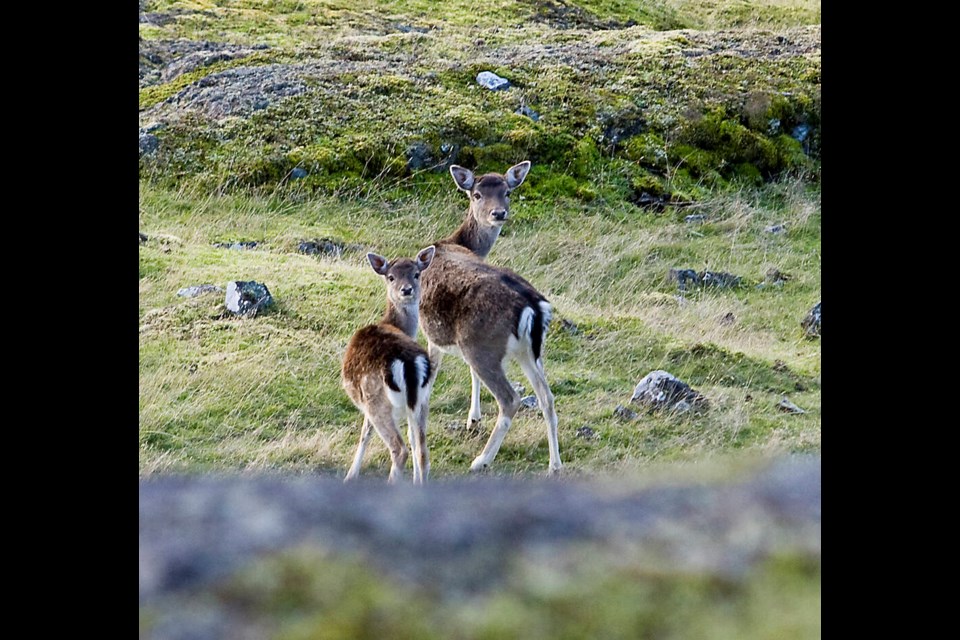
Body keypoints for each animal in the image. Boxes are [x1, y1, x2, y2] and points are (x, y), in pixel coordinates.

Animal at [344, 246, 436, 484]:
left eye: (416, 274)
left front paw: (350, 475)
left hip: (377, 401)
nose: (406, 290)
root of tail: (410, 364)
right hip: (423, 400)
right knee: (422, 451)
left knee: (400, 449)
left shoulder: (364, 401)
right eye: (391, 276)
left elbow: (364, 433)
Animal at [420, 160, 564, 476]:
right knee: (547, 396)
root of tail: (532, 305)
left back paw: (482, 460)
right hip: (527, 351)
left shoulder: (434, 335)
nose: (498, 213)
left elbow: (432, 376)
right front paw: (473, 418)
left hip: (484, 346)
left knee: (511, 399)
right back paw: (555, 464)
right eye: (477, 194)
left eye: (507, 192)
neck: (454, 242)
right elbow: (469, 374)